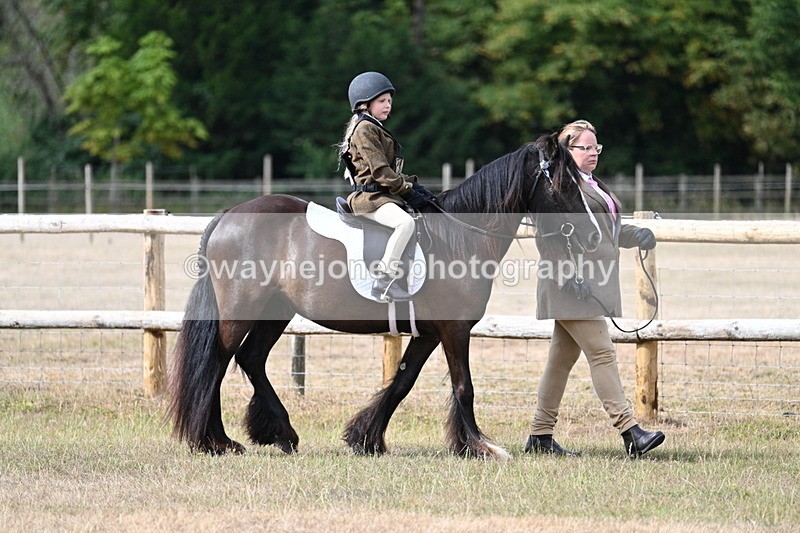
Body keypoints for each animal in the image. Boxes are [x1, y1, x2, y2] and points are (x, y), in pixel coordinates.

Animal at [167, 133, 602, 459]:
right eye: (567, 183)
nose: (594, 235)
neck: (460, 237)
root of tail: (229, 215)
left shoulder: (430, 333)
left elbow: (402, 381)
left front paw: (365, 438)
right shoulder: (455, 329)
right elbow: (464, 386)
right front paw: (482, 446)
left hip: (275, 311)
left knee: (251, 359)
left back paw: (281, 434)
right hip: (240, 311)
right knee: (218, 363)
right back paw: (216, 441)